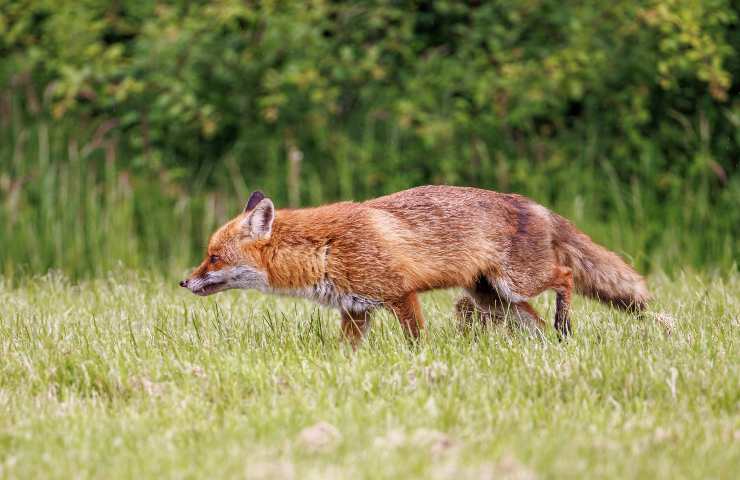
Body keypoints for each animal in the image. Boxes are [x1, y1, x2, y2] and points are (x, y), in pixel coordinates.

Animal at [182, 186, 652, 346]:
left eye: (214, 257)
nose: (184, 281)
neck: (326, 250)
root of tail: (534, 204)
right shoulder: (356, 309)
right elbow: (346, 350)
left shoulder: (400, 294)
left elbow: (414, 342)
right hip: (496, 299)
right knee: (534, 324)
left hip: (517, 284)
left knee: (566, 276)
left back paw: (564, 325)